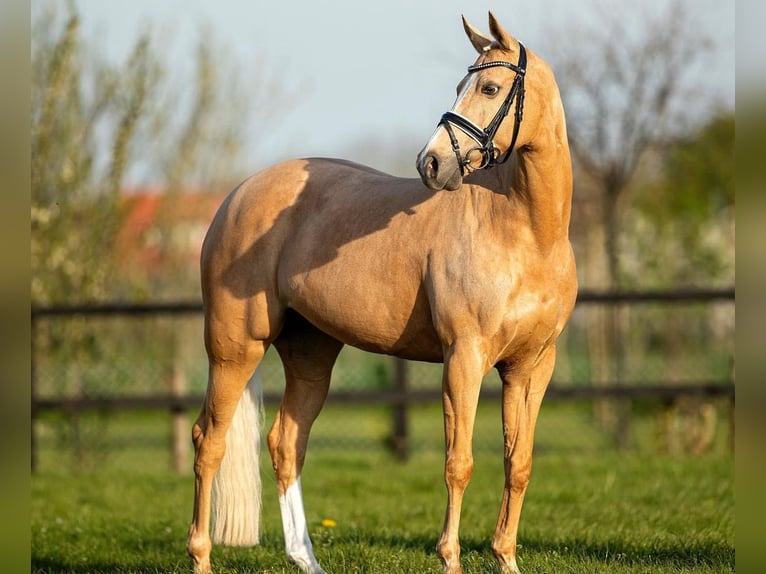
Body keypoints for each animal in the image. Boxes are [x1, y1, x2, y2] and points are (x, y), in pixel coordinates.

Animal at [188, 10, 576, 574]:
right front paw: (450, 558)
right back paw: (200, 555)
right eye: (461, 85)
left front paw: (505, 558)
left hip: (310, 354)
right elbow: (459, 462)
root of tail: (237, 196)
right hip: (234, 349)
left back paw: (306, 559)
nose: (430, 163)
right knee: (208, 440)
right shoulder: (464, 359)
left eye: (489, 87)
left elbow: (518, 462)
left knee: (286, 442)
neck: (524, 232)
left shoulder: (532, 367)